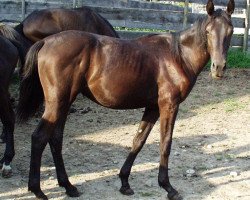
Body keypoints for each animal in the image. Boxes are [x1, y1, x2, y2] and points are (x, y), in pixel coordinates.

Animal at [17, 0, 234, 200]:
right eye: (208, 32)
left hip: (65, 102)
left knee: (55, 139)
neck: (178, 56)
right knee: (39, 138)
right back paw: (37, 190)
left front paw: (124, 182)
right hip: (56, 103)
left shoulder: (153, 107)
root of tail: (46, 42)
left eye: (231, 31)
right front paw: (168, 187)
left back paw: (68, 186)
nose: (218, 68)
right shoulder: (169, 106)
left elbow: (138, 141)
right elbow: (165, 144)